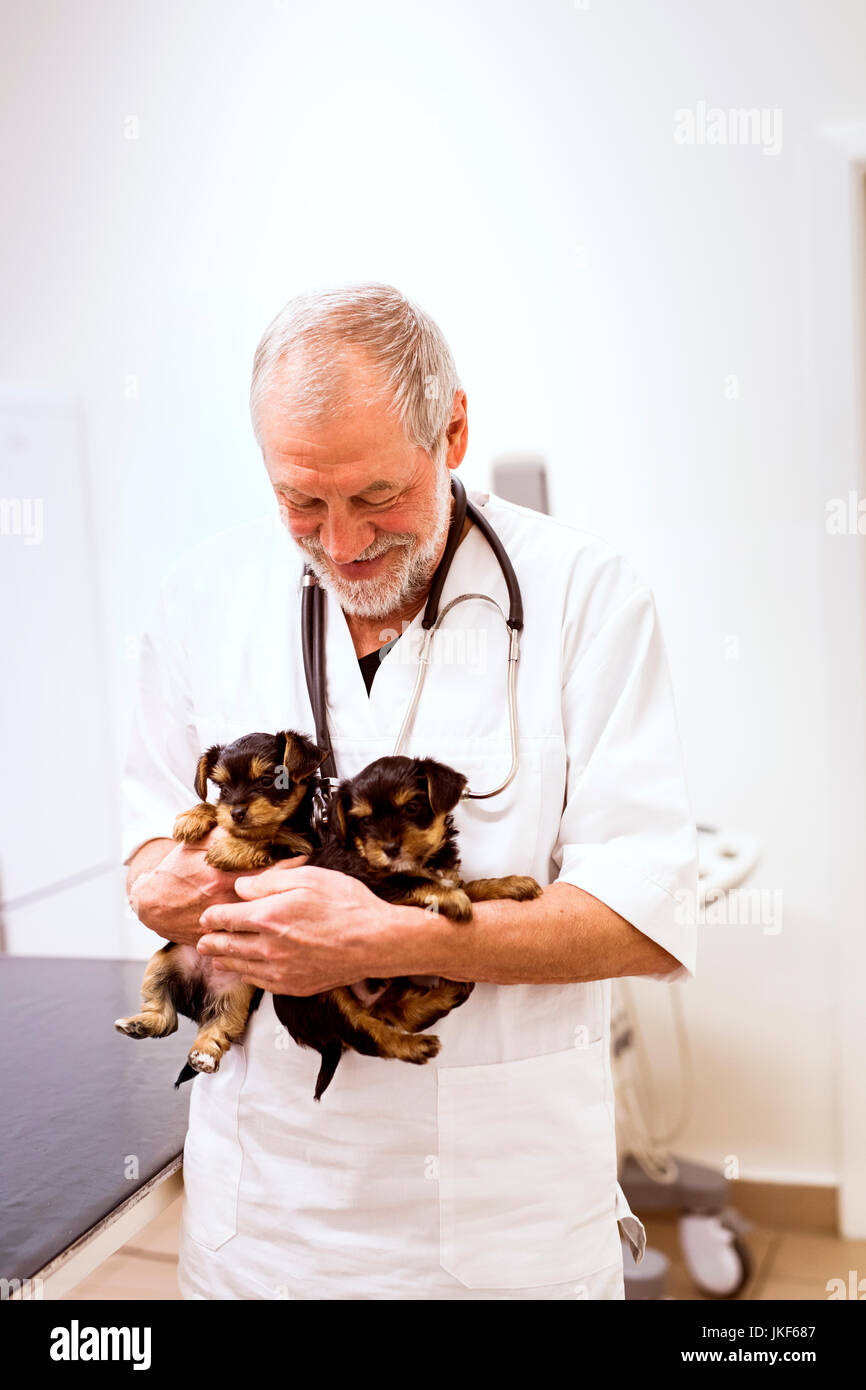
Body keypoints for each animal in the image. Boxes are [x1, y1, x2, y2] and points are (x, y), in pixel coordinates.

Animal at [115, 728, 325, 1084]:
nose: (238, 812)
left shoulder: (300, 848)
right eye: (223, 787)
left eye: (267, 780)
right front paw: (193, 817)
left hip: (238, 993)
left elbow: (270, 838)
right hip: (162, 963)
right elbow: (213, 808)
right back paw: (139, 1024)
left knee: (220, 1025)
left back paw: (204, 1054)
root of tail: (197, 999)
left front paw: (231, 849)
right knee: (165, 1016)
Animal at [271, 756, 542, 1100]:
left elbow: (470, 886)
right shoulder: (370, 882)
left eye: (412, 807)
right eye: (364, 821)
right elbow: (414, 882)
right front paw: (453, 899)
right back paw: (415, 1046)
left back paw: (449, 992)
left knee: (399, 1013)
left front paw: (511, 884)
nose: (389, 847)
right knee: (366, 1034)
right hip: (325, 999)